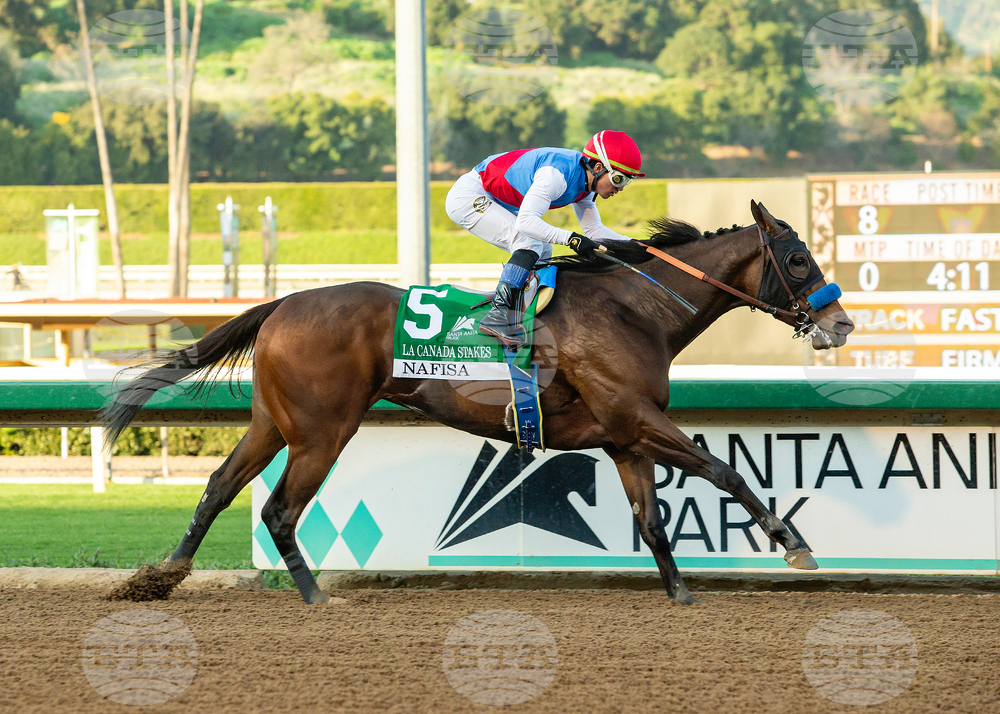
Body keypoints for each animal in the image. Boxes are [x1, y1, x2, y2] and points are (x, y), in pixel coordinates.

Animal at [102, 201, 854, 606]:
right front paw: (794, 545)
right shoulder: (639, 419)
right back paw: (313, 595)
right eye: (797, 259)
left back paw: (162, 575)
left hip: (273, 421)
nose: (841, 323)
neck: (635, 309)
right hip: (322, 430)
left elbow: (653, 520)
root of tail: (284, 302)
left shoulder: (623, 437)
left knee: (220, 483)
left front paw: (679, 592)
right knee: (280, 509)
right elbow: (722, 470)